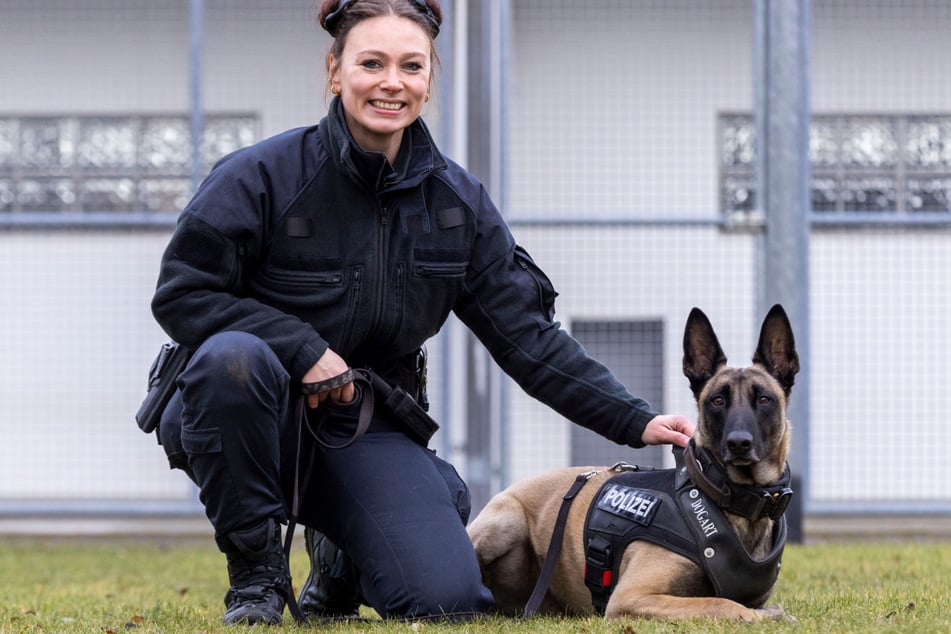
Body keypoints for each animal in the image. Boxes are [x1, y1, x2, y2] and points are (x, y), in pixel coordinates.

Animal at [466, 304, 796, 620]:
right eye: (717, 401)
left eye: (764, 399)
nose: (739, 443)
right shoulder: (632, 596)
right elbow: (721, 604)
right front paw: (764, 617)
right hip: (506, 520)